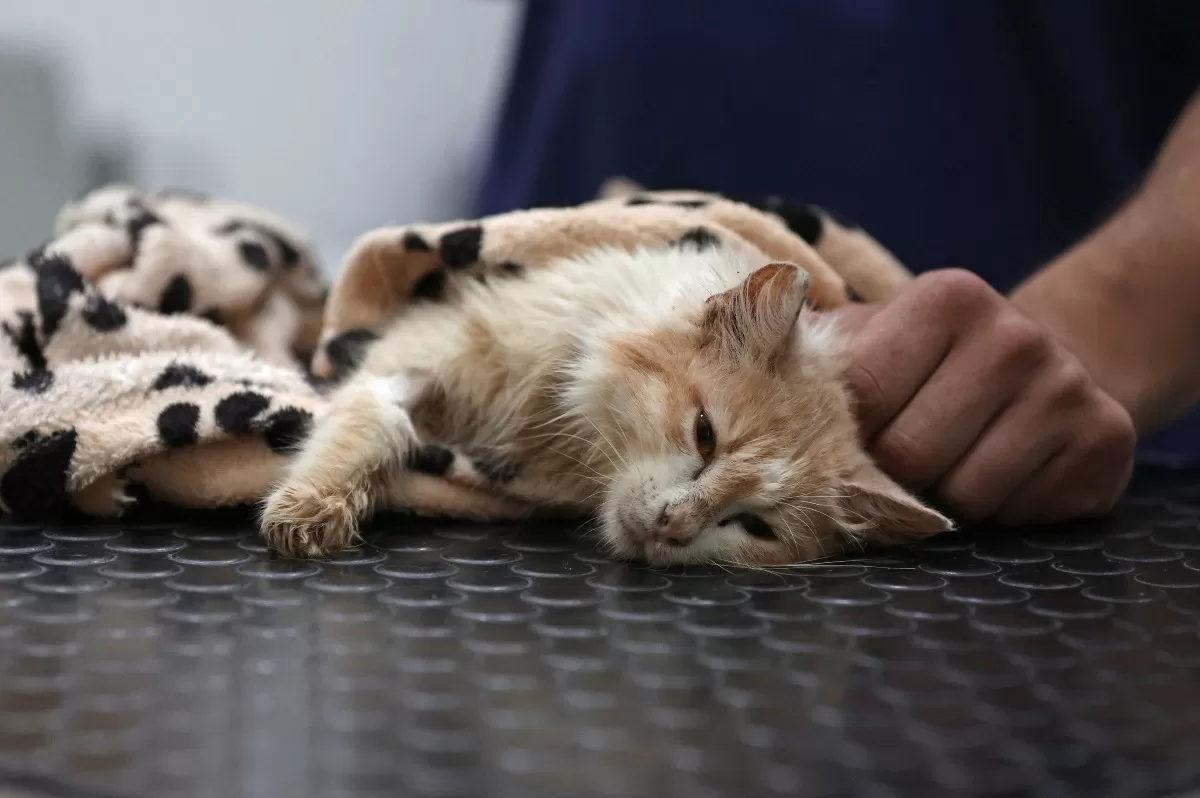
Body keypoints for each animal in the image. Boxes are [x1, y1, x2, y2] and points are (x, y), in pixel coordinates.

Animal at [258, 240, 950, 564]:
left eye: (756, 526)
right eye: (704, 434)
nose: (674, 525)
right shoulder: (418, 353)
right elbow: (366, 421)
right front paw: (310, 509)